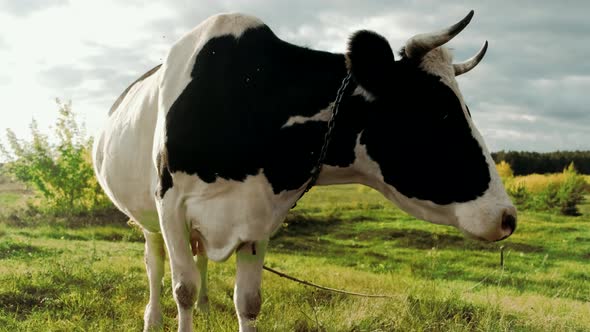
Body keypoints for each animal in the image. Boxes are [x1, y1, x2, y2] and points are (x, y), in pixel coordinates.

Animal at [92, 10, 520, 332]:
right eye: (439, 112)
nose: (507, 217)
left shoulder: (258, 216)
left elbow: (248, 301)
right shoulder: (172, 208)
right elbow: (182, 289)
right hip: (149, 220)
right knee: (155, 265)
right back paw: (152, 319)